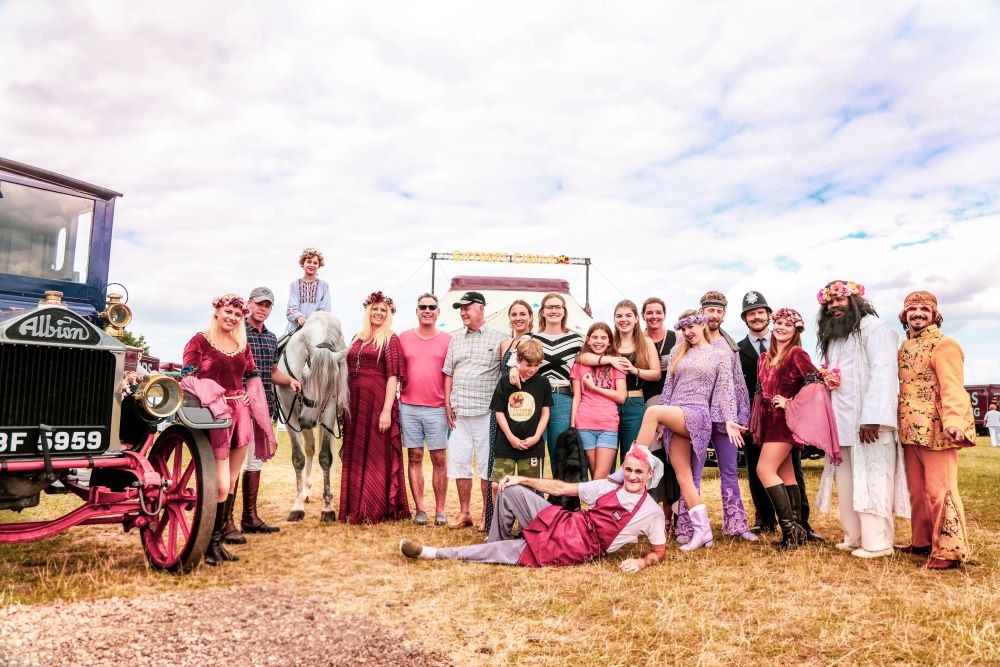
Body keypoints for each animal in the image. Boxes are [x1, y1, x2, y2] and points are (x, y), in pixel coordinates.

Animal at [276, 310, 350, 524]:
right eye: (305, 376)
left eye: (331, 384)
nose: (308, 420)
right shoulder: (290, 414)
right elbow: (298, 458)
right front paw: (297, 506)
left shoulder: (329, 412)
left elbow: (325, 457)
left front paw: (328, 508)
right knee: (308, 448)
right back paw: (303, 493)